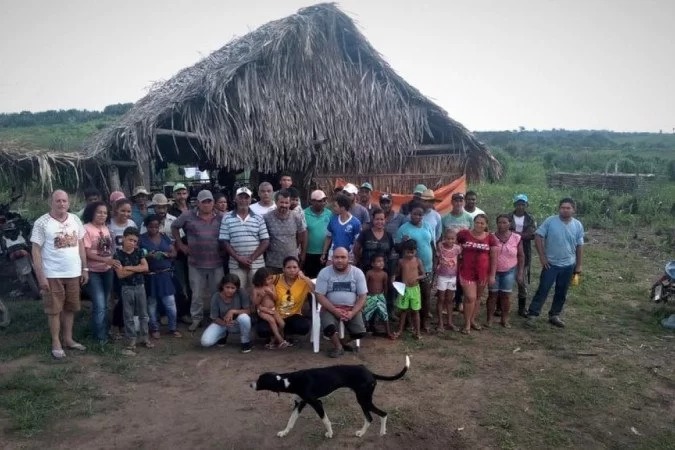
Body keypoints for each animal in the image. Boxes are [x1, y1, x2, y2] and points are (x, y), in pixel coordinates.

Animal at [251, 354, 410, 438]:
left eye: (259, 380)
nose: (250, 385)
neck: (290, 380)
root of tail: (369, 372)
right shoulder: (300, 404)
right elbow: (290, 421)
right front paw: (284, 432)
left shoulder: (316, 403)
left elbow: (325, 420)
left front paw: (330, 433)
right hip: (363, 400)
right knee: (371, 417)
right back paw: (364, 433)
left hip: (363, 400)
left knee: (381, 414)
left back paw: (381, 432)